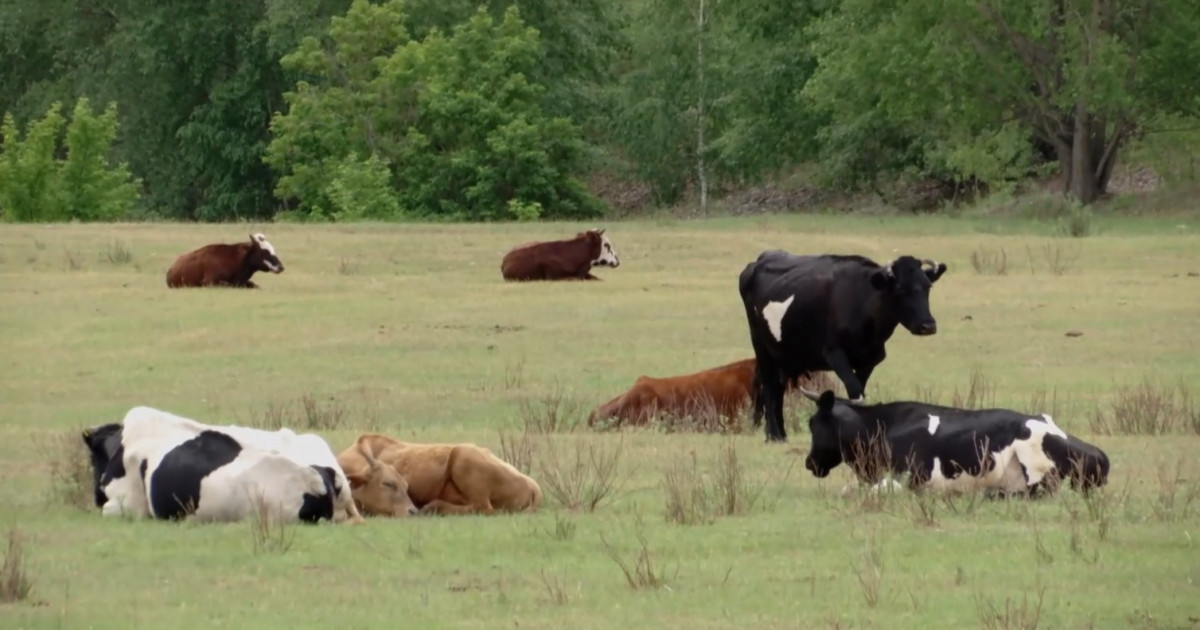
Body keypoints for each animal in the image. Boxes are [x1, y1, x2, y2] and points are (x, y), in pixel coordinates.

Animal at [338, 432, 544, 516]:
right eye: (388, 483)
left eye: (405, 486)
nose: (412, 511)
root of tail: (532, 485)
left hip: (463, 455)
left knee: (483, 508)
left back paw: (434, 507)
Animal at [739, 252, 945, 441]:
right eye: (901, 289)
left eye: (928, 286)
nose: (928, 325)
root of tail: (761, 259)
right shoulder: (834, 353)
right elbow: (855, 391)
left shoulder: (869, 360)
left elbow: (860, 391)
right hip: (760, 344)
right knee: (768, 386)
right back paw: (773, 434)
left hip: (783, 353)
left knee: (778, 387)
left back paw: (781, 433)